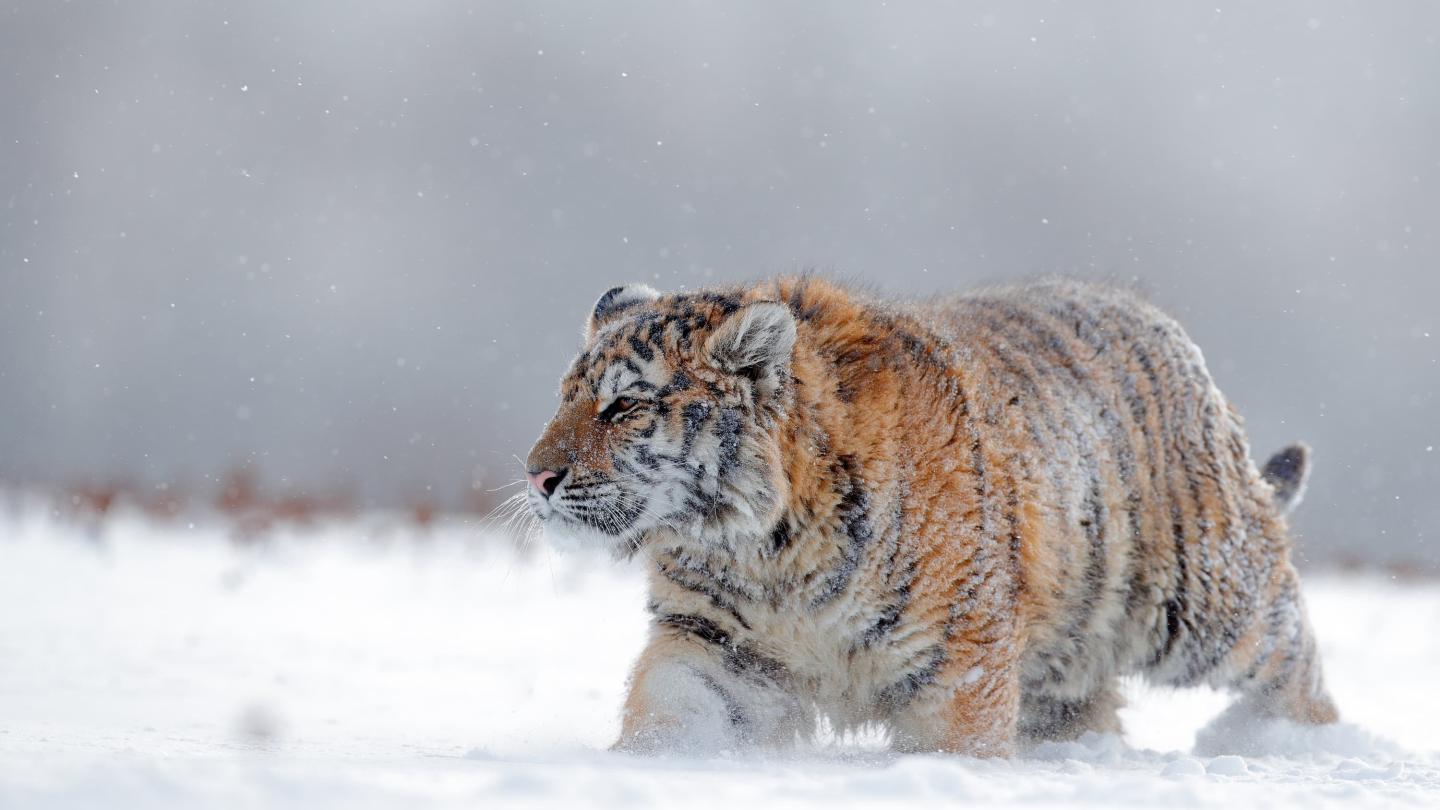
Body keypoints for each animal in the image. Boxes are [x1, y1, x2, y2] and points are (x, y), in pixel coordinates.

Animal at [522, 275, 1338, 757]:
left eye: (623, 406)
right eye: (564, 395)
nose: (536, 476)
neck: (762, 551)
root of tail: (1168, 328)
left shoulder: (958, 664)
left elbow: (957, 748)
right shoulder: (717, 643)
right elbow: (671, 712)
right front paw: (640, 769)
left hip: (1205, 602)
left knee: (1291, 647)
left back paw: (1298, 746)